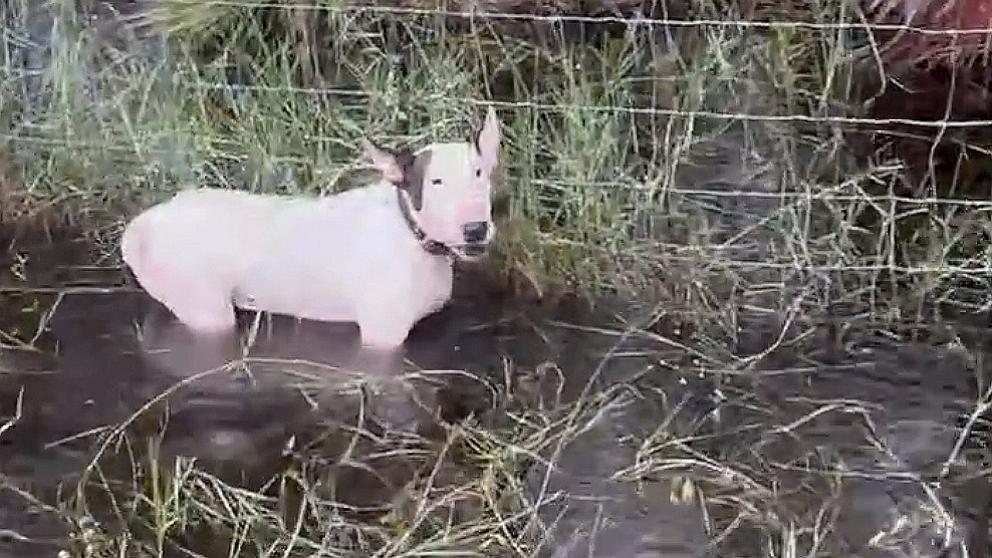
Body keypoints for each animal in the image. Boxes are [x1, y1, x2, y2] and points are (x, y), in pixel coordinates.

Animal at [121, 106, 504, 350]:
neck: (411, 235)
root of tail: (141, 226)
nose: (475, 229)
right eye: (435, 181)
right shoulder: (382, 336)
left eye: (479, 173)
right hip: (205, 308)